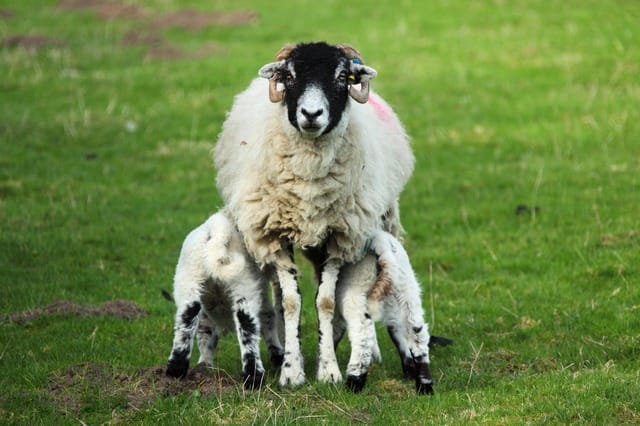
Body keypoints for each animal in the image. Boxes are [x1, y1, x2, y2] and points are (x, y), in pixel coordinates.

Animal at [165, 211, 284, 390]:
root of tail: (218, 229)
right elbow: (268, 318)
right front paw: (277, 356)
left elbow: (205, 336)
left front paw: (204, 367)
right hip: (243, 284)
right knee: (247, 328)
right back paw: (254, 378)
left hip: (188, 280)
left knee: (186, 321)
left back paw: (176, 370)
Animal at [214, 42, 414, 387]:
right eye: (289, 76)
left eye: (343, 77)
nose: (310, 114)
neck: (309, 174)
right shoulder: (274, 234)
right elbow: (291, 301)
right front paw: (292, 371)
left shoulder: (339, 237)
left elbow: (326, 301)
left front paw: (328, 368)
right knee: (278, 294)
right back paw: (282, 350)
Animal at [334, 229, 452, 394]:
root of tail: (381, 243)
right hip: (407, 291)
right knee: (416, 335)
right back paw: (424, 385)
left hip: (356, 292)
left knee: (362, 336)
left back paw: (354, 384)